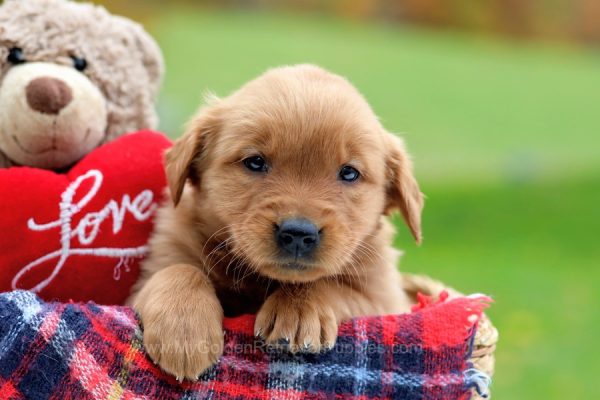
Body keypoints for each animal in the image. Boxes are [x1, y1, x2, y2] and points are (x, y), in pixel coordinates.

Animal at [129, 64, 424, 380]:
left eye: (349, 173)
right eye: (255, 162)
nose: (298, 233)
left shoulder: (383, 297)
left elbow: (328, 284)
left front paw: (299, 310)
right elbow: (180, 270)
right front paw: (184, 331)